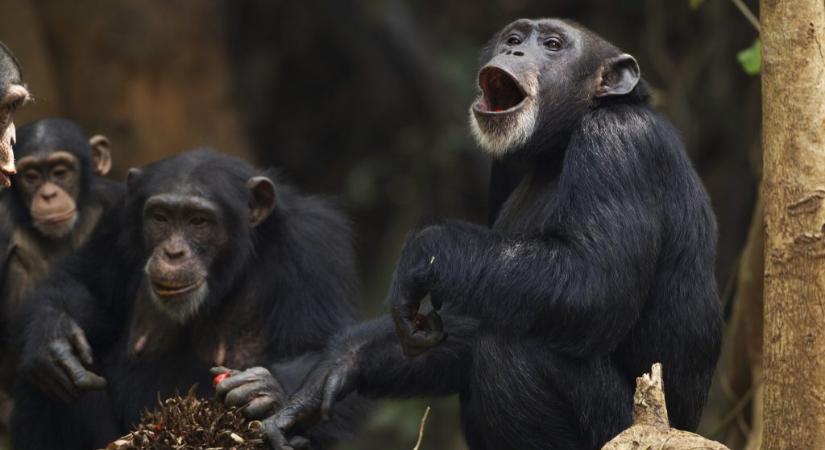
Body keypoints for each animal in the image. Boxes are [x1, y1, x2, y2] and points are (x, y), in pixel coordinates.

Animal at [11, 150, 366, 450]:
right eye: (160, 218)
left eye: (199, 221)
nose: (173, 252)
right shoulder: (115, 222)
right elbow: (85, 284)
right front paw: (54, 334)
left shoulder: (313, 246)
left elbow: (326, 361)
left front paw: (265, 389)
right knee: (47, 383)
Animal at [217, 17, 720, 450]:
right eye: (514, 37)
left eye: (553, 45)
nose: (514, 49)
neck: (559, 144)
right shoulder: (503, 172)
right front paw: (329, 369)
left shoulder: (620, 146)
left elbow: (593, 284)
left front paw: (423, 253)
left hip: (617, 428)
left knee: (513, 348)